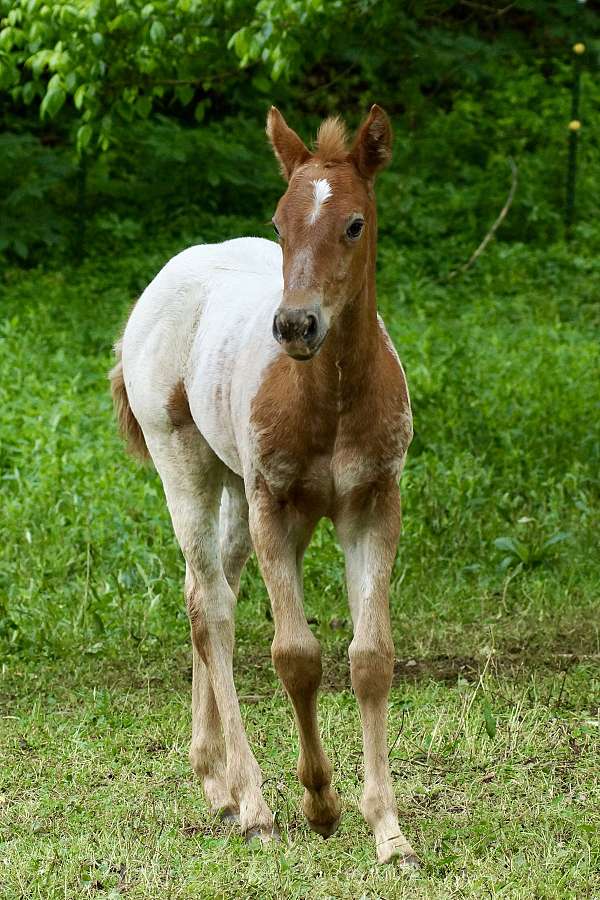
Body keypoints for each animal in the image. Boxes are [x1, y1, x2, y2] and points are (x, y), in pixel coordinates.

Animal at [110, 104, 416, 866]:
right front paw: (318, 802)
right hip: (187, 463)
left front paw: (388, 830)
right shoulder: (274, 506)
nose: (295, 324)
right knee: (210, 606)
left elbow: (370, 657)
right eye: (279, 223)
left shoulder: (373, 504)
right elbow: (296, 655)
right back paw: (248, 802)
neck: (330, 399)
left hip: (236, 486)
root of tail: (168, 274)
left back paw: (214, 777)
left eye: (355, 224)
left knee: (208, 586)